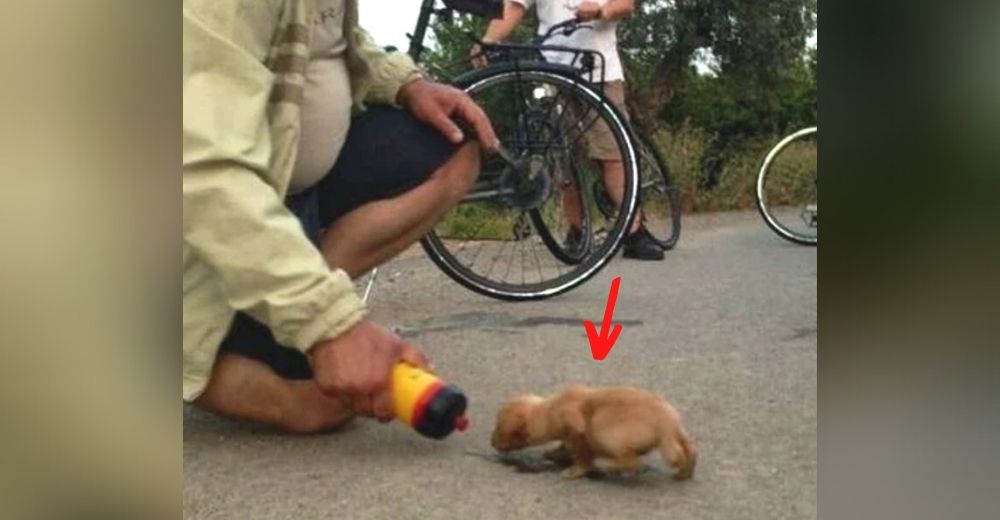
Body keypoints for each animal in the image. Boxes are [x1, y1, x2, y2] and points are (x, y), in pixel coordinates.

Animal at [490, 384, 696, 482]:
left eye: (500, 429)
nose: (491, 443)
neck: (551, 409)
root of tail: (668, 423)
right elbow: (565, 447)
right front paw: (554, 453)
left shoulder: (577, 431)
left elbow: (582, 454)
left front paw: (572, 470)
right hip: (681, 434)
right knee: (690, 450)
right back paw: (685, 471)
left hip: (605, 428)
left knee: (633, 460)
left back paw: (613, 467)